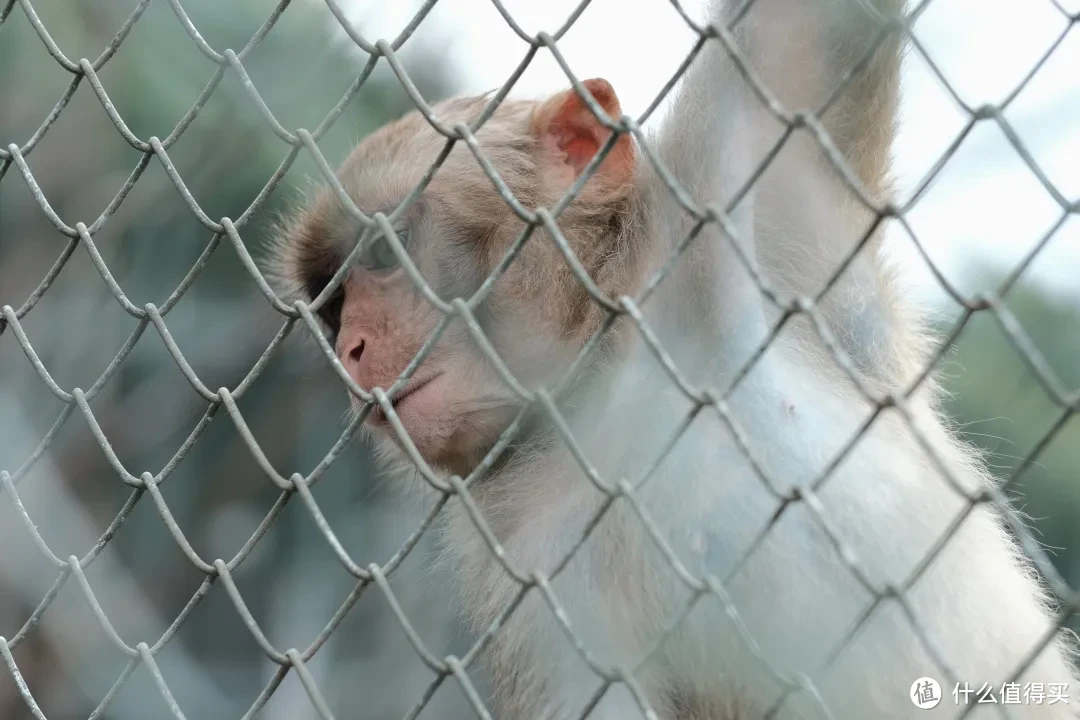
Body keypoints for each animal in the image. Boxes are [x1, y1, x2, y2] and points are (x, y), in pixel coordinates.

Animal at [265, 0, 1075, 716]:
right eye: (332, 308)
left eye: (382, 255)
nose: (351, 350)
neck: (592, 380)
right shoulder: (528, 569)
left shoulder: (738, 207)